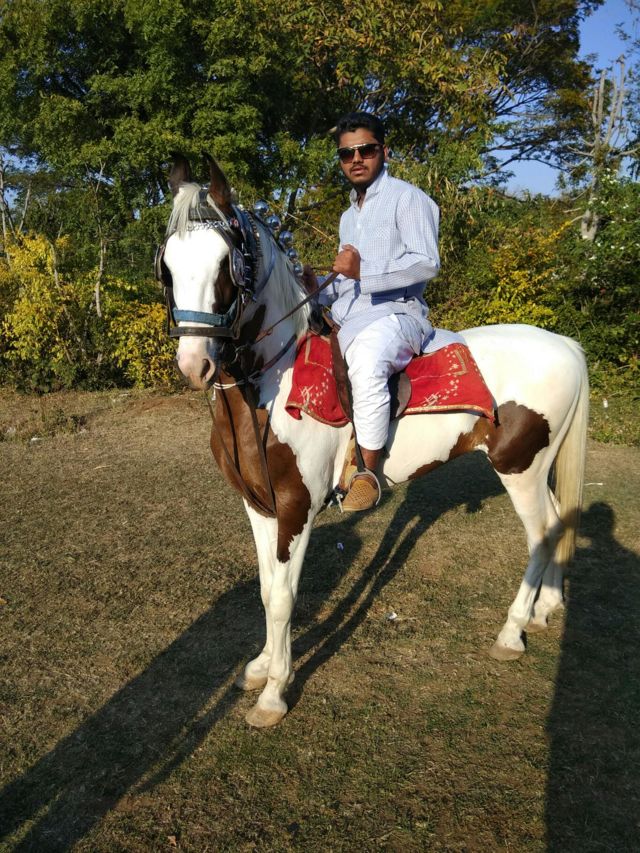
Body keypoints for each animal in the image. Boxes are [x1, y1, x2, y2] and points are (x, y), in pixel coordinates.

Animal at [157, 155, 589, 728]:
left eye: (226, 263)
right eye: (168, 264)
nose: (195, 364)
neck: (273, 385)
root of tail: (564, 344)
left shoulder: (297, 507)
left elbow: (284, 597)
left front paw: (274, 692)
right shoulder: (259, 504)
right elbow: (267, 589)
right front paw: (261, 666)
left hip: (519, 470)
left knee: (540, 534)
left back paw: (512, 631)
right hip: (539, 470)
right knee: (562, 519)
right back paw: (544, 610)